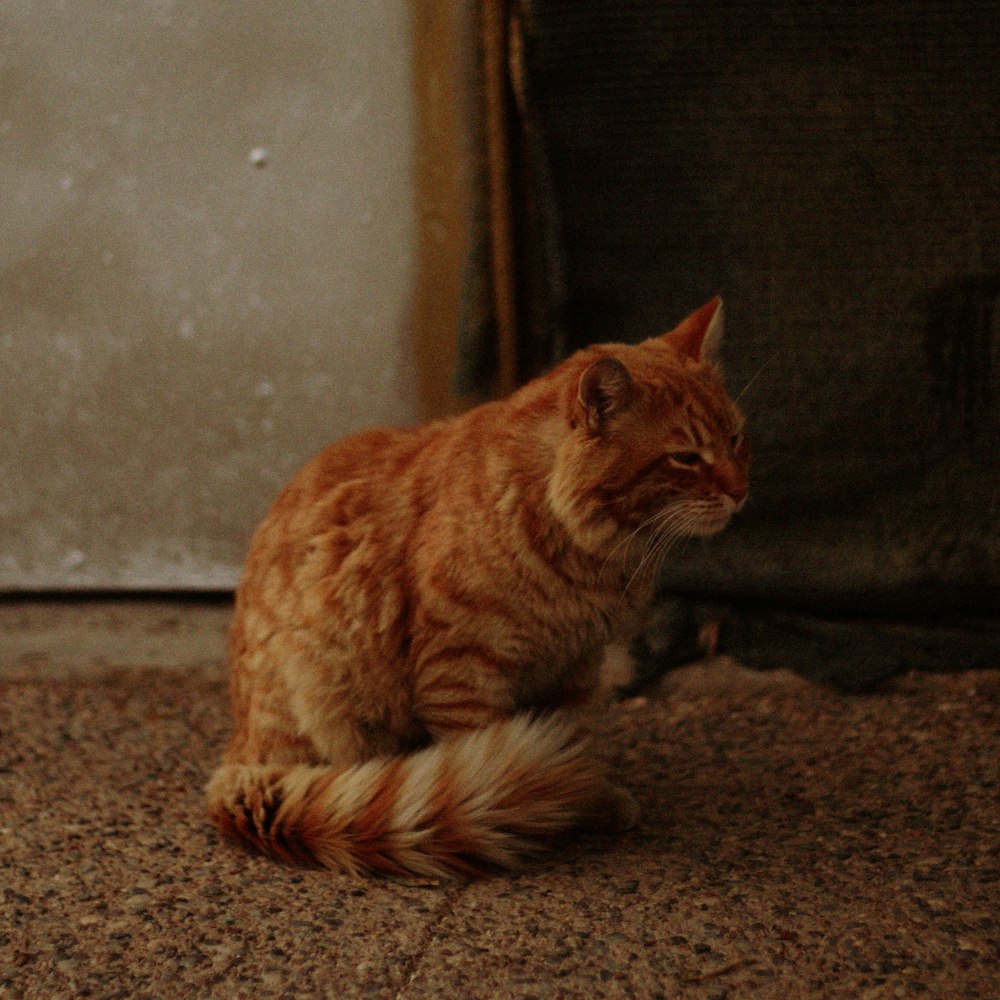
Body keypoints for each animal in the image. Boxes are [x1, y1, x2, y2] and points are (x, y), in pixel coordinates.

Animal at [207, 296, 748, 876]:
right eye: (686, 457)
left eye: (735, 439)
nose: (741, 492)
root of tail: (237, 757)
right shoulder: (460, 671)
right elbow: (500, 762)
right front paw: (547, 807)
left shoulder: (574, 667)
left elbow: (570, 740)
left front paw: (584, 797)